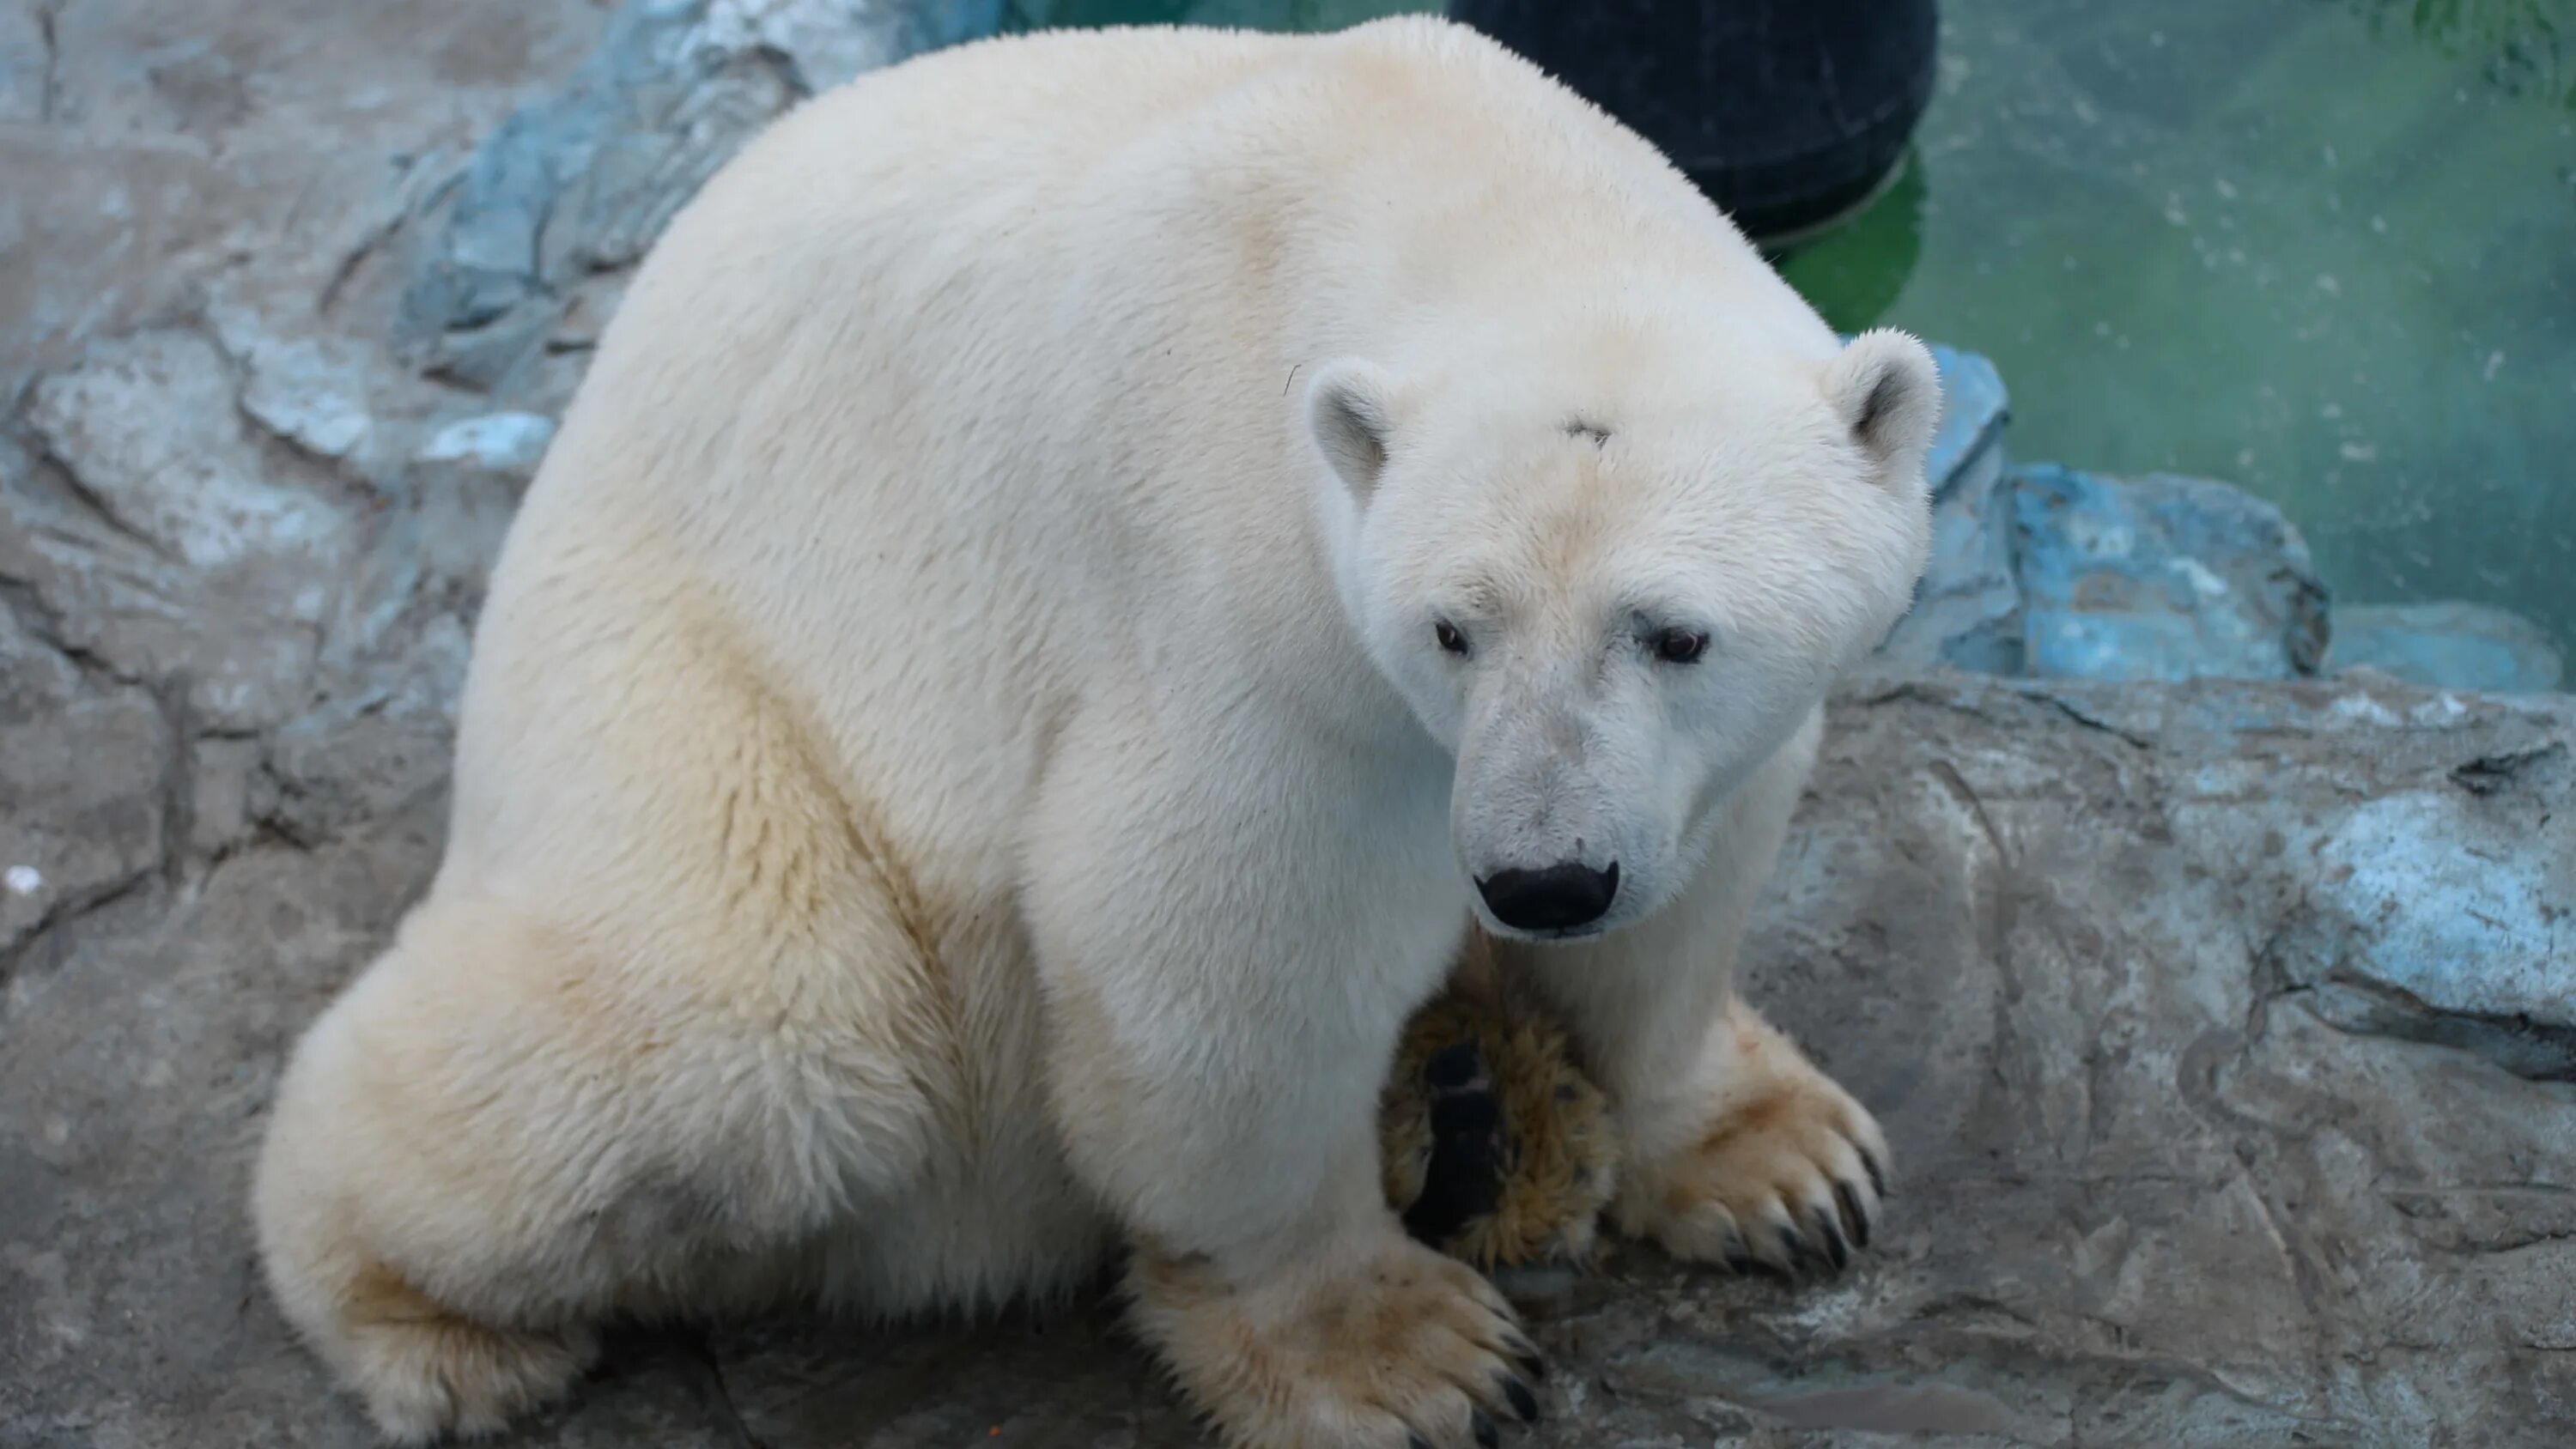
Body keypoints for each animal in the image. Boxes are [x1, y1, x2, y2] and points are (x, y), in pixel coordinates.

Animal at [251, 14, 1937, 1449]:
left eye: (1675, 631)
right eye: (1452, 629)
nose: (1540, 878)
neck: (1424, 165)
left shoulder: (1669, 746)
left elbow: (1694, 883)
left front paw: (1786, 1161)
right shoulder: (1243, 595)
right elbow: (1219, 949)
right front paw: (1402, 1356)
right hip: (676, 718)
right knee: (746, 1033)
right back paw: (426, 1327)